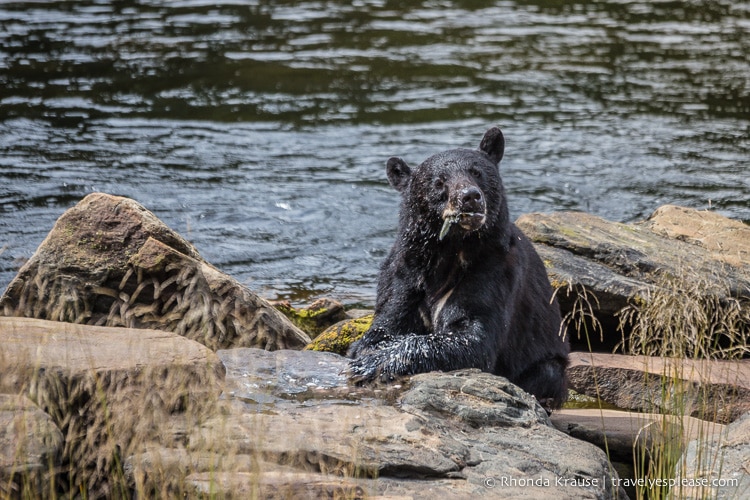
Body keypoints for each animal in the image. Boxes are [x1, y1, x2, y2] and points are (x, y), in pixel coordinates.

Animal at [350, 126, 572, 410]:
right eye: (439, 182)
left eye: (477, 172)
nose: (470, 196)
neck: (450, 252)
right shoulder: (404, 272)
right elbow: (389, 317)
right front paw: (366, 348)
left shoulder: (495, 271)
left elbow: (473, 336)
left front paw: (373, 362)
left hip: (548, 362)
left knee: (547, 374)